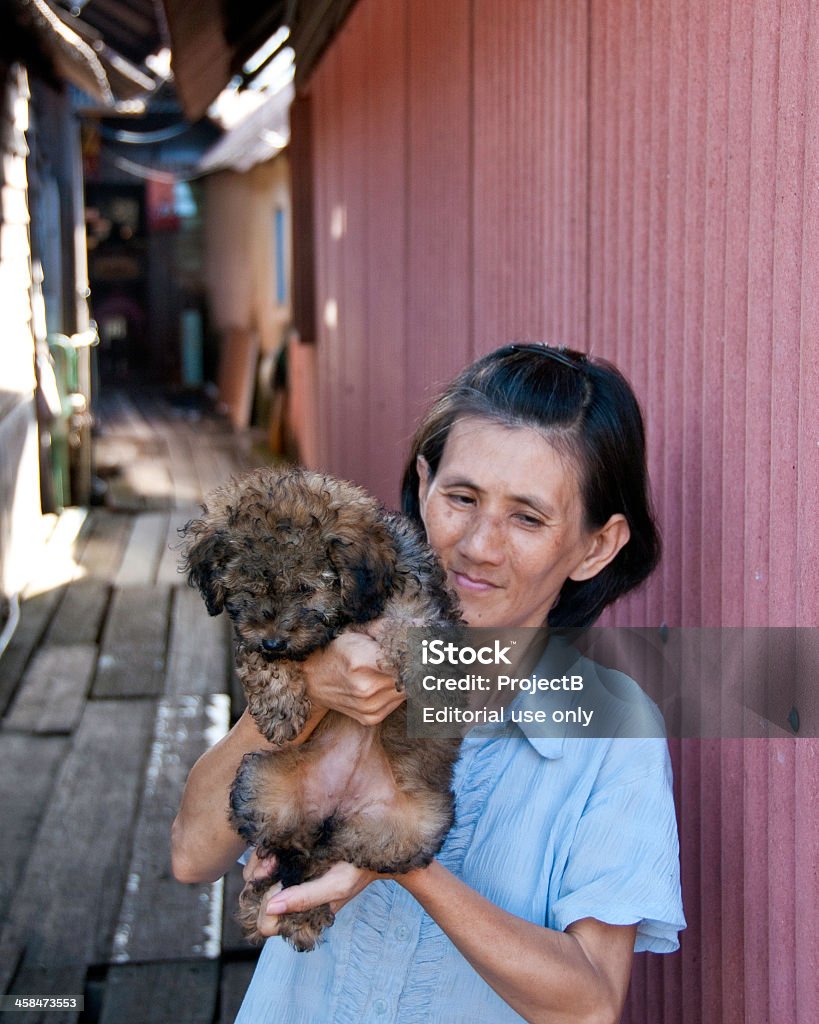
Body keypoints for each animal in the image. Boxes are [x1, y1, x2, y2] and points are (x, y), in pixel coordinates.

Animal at [180, 466, 460, 950]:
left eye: (305, 589)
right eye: (245, 591)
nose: (275, 640)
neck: (346, 616)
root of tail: (335, 810)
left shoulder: (417, 593)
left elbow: (412, 623)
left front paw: (432, 679)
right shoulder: (249, 633)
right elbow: (250, 652)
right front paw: (279, 702)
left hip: (415, 827)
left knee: (335, 855)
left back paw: (300, 910)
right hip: (260, 784)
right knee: (290, 849)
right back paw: (276, 904)